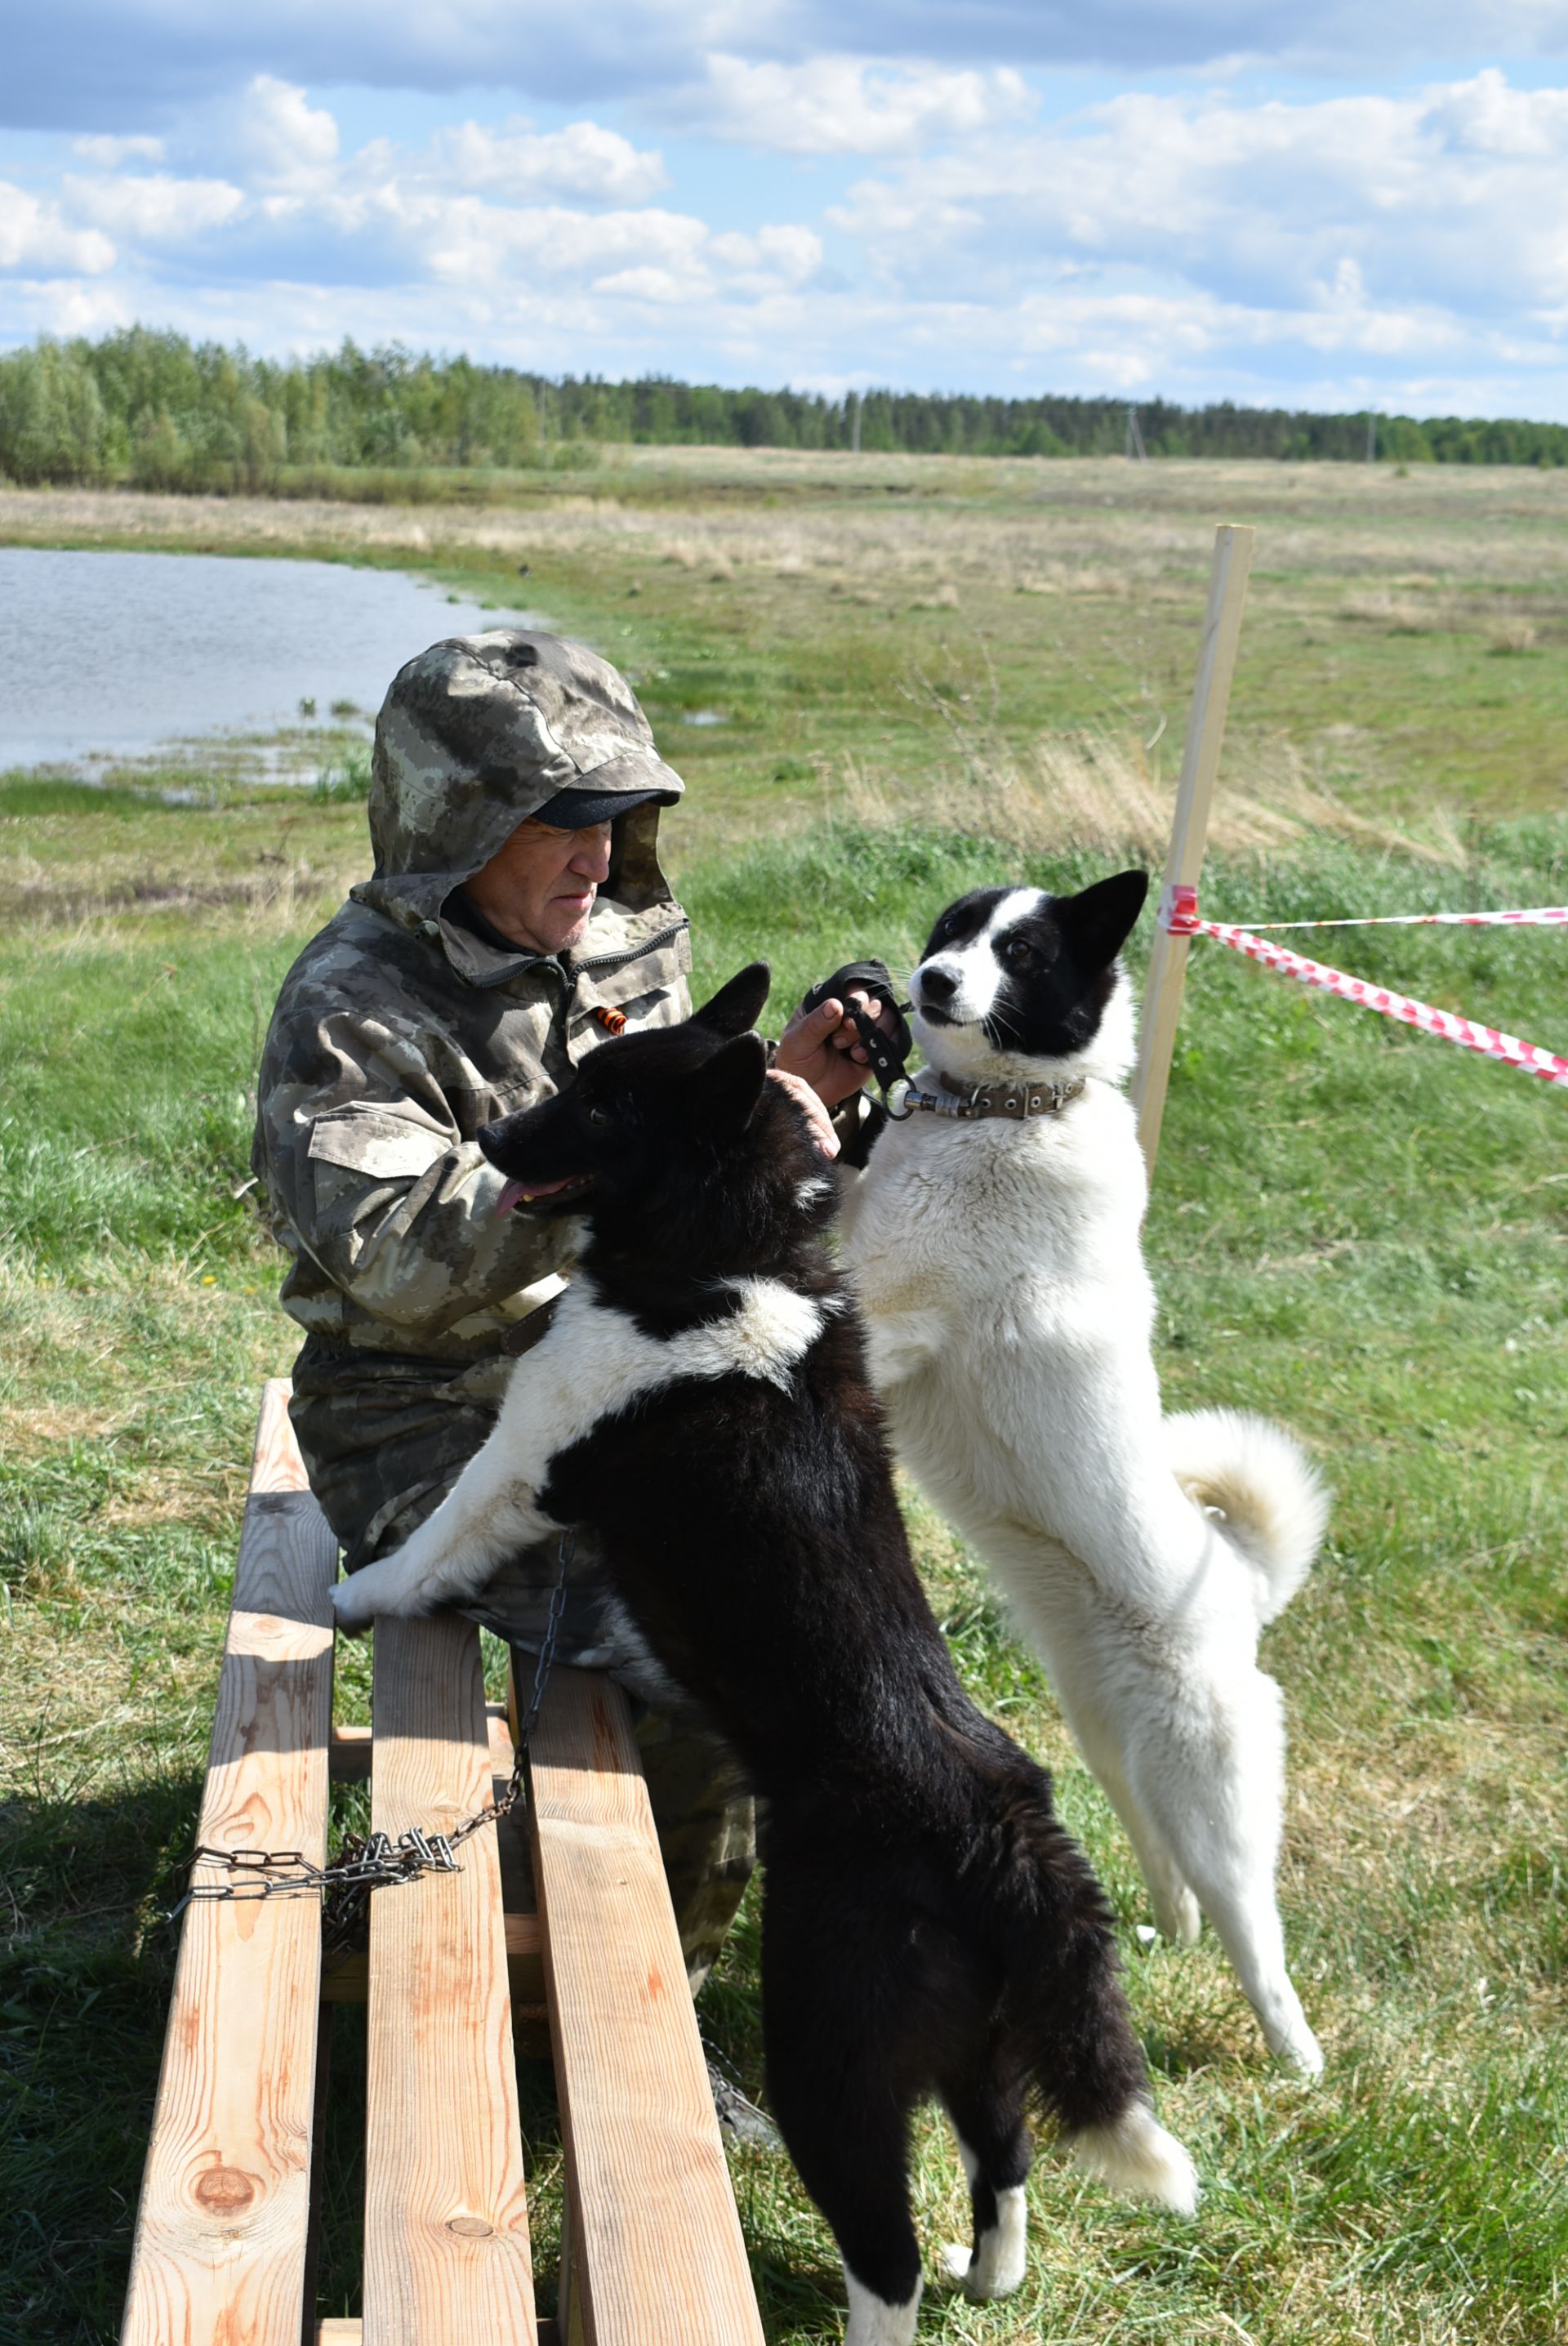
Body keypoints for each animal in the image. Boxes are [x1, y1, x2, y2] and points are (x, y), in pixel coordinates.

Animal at [330, 961, 1186, 2336]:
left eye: (599, 1104)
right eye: (575, 1079)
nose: (492, 1147)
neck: (727, 1258)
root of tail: (1005, 1832)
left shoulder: (526, 1457)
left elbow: (436, 1541)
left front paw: (361, 1596)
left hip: (830, 2057)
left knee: (885, 2251)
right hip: (977, 2044)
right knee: (1001, 2157)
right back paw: (989, 2276)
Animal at [839, 877, 1331, 2073]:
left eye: (1020, 953)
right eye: (953, 931)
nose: (930, 982)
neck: (1010, 1110)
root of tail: (1238, 1584)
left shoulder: (878, 1311)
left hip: (1214, 1792)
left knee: (1257, 1934)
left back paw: (1299, 2061)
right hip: (1114, 1743)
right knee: (1169, 1867)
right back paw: (1163, 1930)